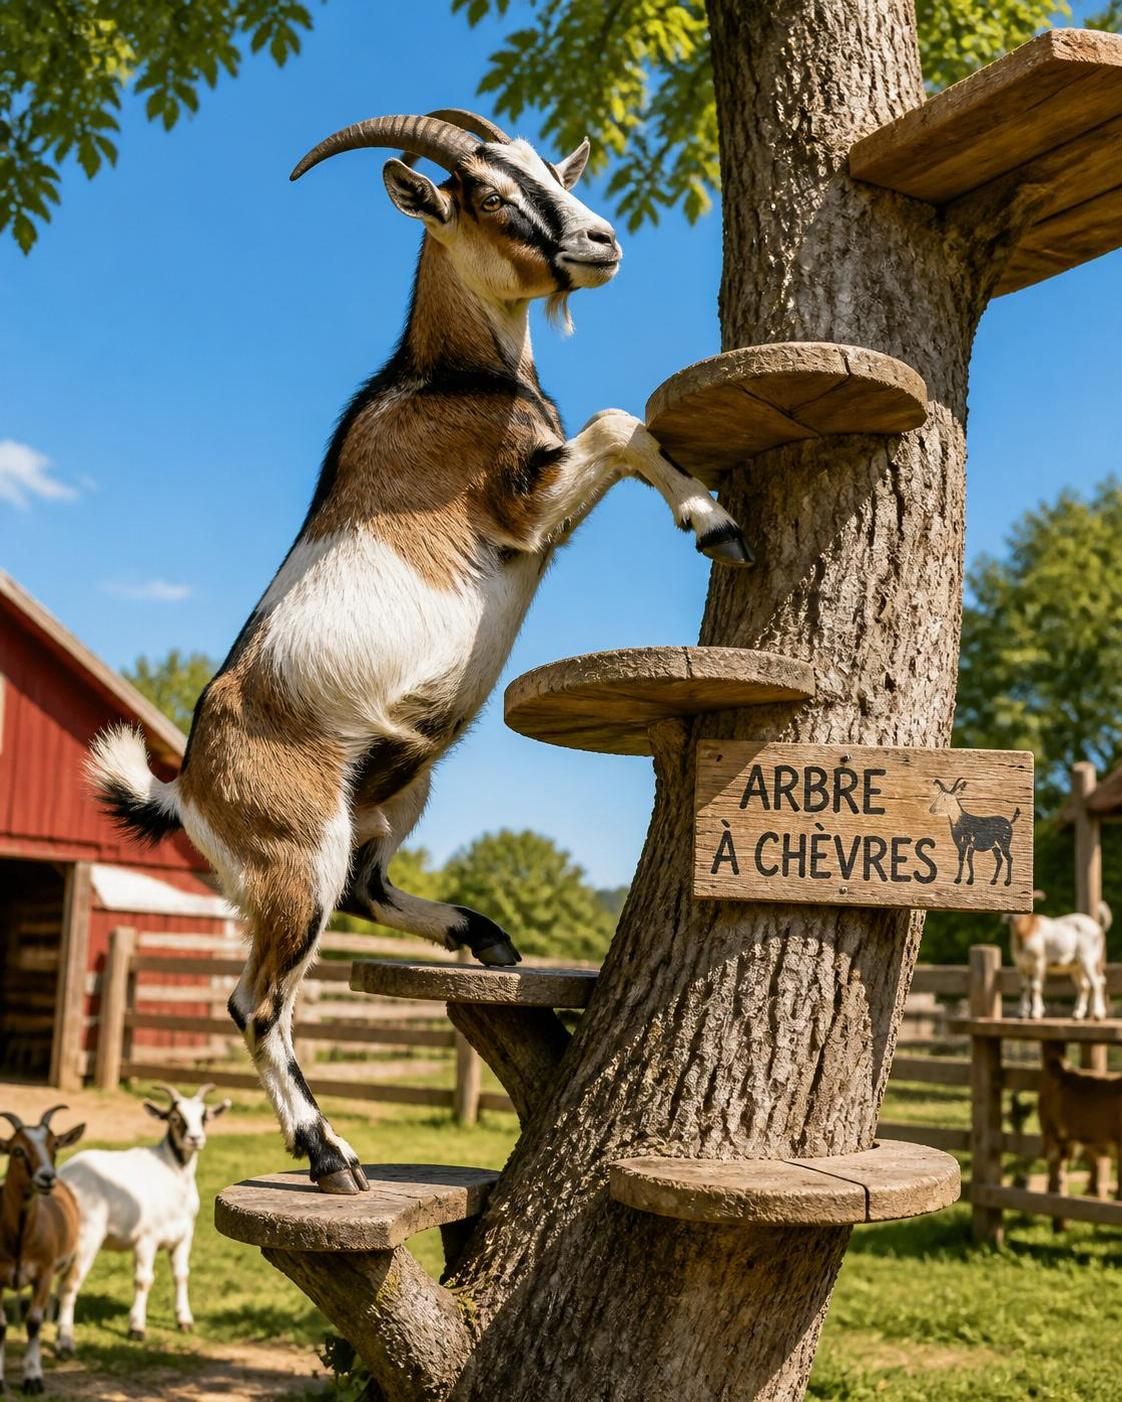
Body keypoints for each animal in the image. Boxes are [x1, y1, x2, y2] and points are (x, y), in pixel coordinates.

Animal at [0, 1106, 84, 1395]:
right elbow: (1, 1325)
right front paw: (0, 1382)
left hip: (73, 1258)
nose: (47, 1177)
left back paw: (64, 1342)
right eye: (17, 1150)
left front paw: (33, 1378)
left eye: (54, 1145)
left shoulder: (44, 1273)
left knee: (67, 1293)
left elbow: (33, 1322)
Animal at [57, 1084, 229, 1347]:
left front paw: (184, 1321)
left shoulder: (184, 1235)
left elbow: (181, 1275)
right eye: (175, 1117)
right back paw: (64, 1339)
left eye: (204, 1117)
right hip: (87, 1237)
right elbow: (143, 1280)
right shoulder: (147, 1239)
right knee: (70, 1283)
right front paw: (136, 1327)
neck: (172, 1171)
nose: (194, 1138)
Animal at [86, 110, 752, 1194]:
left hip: (400, 788)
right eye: (485, 195)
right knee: (256, 1002)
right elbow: (621, 421)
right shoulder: (520, 509)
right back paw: (330, 1157)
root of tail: (186, 786)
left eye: (549, 170)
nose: (600, 242)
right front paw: (714, 521)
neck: (452, 377)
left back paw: (484, 936)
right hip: (293, 859)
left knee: (367, 884)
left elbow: (622, 425)